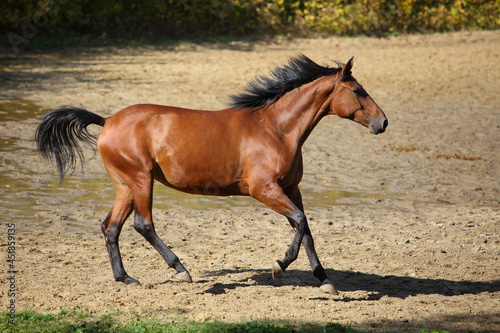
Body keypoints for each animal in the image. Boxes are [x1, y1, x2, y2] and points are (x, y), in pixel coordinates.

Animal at [36, 55, 386, 294]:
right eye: (358, 90)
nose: (382, 123)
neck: (276, 129)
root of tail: (107, 120)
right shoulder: (264, 189)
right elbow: (300, 223)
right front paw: (278, 266)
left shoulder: (291, 188)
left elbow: (306, 229)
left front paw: (326, 281)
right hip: (140, 180)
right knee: (143, 224)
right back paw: (181, 270)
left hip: (124, 186)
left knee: (111, 228)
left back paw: (126, 278)